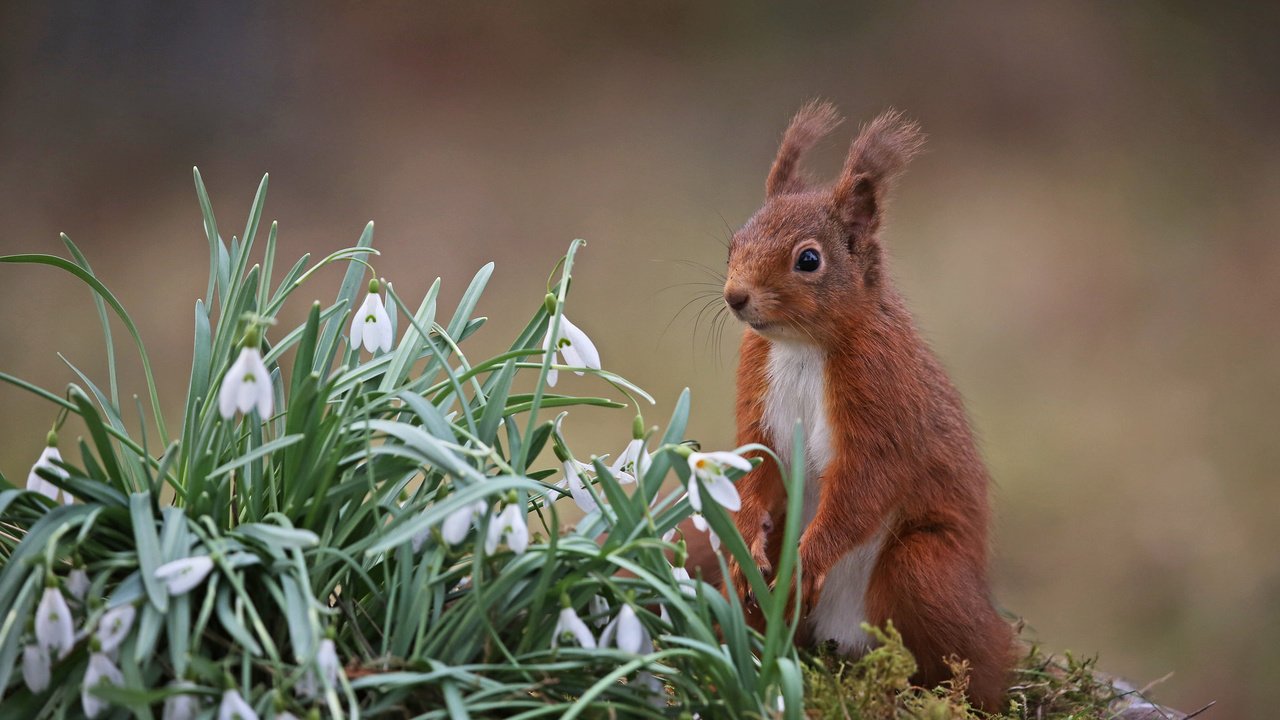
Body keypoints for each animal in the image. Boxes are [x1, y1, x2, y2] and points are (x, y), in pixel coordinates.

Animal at [727, 101, 1013, 707]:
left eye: (809, 259)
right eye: (734, 241)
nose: (735, 297)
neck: (802, 347)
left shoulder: (883, 395)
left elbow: (865, 483)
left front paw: (808, 560)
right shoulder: (757, 389)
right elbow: (758, 458)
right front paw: (747, 537)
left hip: (925, 568)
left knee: (977, 663)